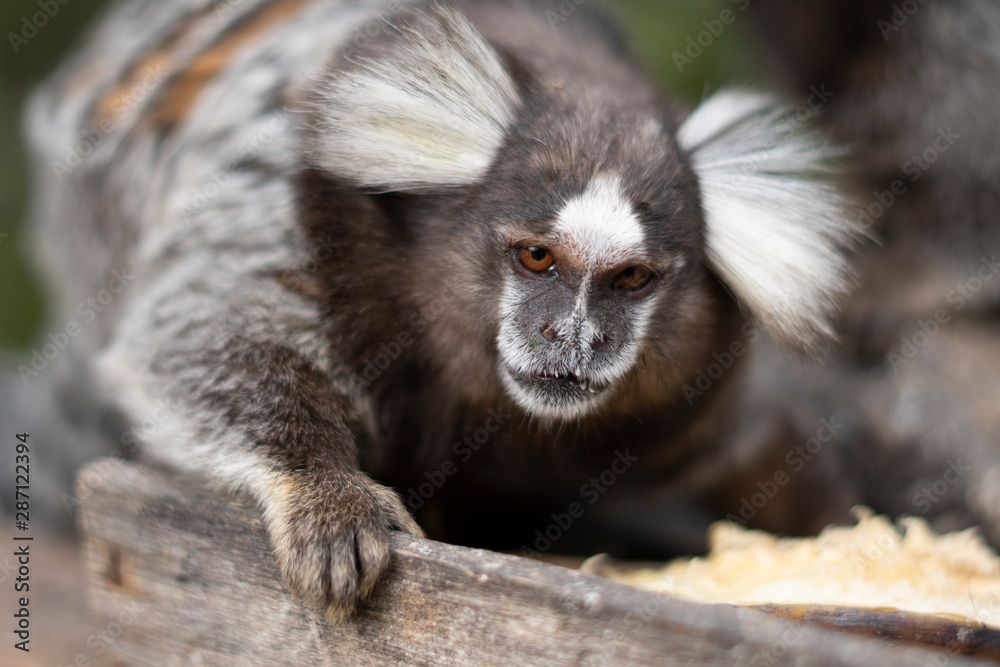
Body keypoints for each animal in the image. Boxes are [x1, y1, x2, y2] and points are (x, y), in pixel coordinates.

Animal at [24, 0, 859, 621]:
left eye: (630, 278)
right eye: (536, 258)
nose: (574, 336)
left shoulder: (685, 414)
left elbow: (756, 446)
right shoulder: (295, 201)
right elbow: (202, 336)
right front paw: (323, 490)